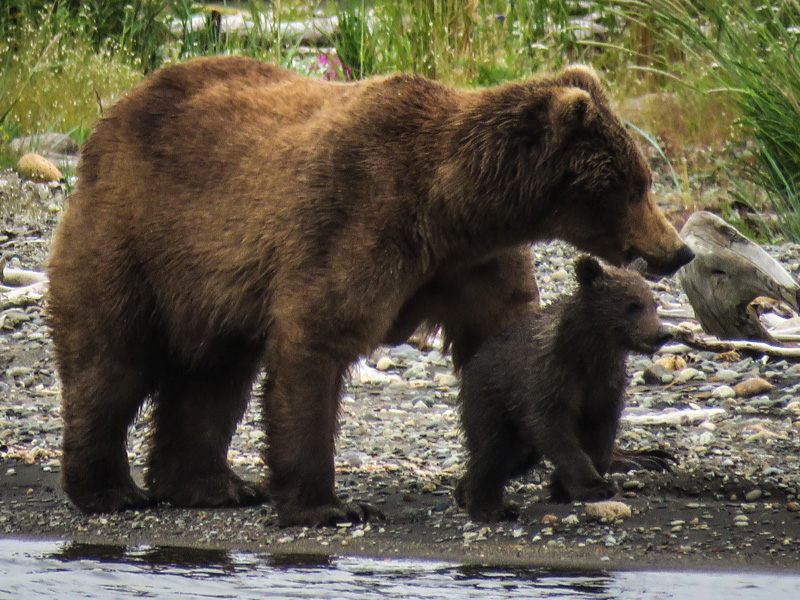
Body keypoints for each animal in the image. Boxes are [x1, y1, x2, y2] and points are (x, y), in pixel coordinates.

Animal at [454, 255, 672, 524]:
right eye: (632, 305)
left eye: (653, 303)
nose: (663, 333)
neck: (588, 354)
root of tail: (473, 360)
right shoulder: (550, 379)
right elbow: (554, 429)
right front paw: (592, 486)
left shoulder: (606, 383)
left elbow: (600, 431)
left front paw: (563, 486)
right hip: (491, 399)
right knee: (494, 451)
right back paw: (490, 508)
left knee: (515, 457)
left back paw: (464, 491)